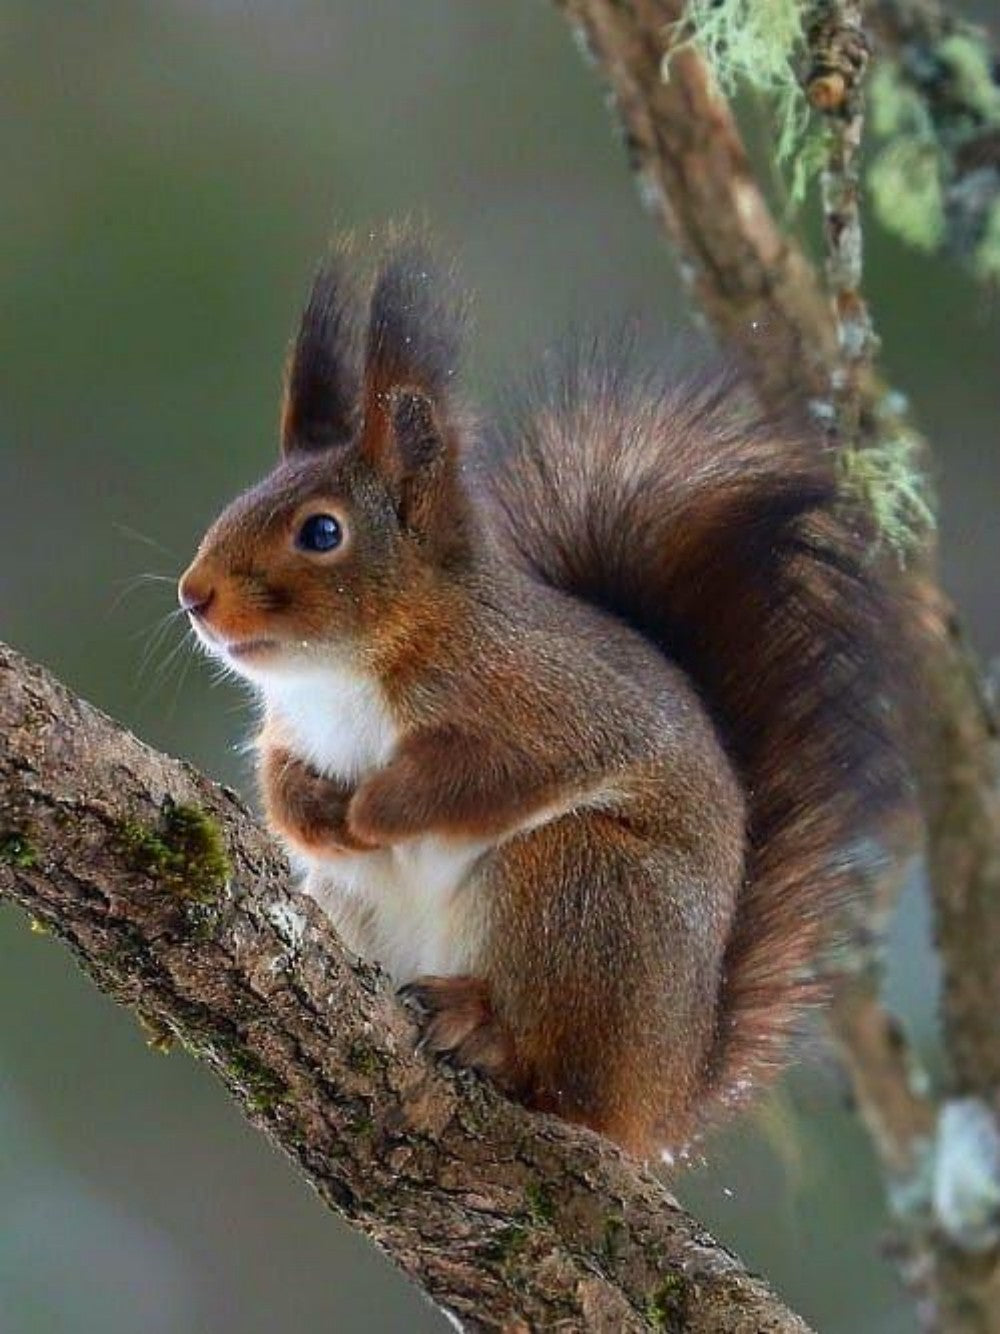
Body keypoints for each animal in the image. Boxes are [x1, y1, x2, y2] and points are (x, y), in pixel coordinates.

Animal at [178, 236, 911, 1159]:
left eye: (321, 532)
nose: (194, 596)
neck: (342, 673)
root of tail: (660, 1101)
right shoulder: (289, 726)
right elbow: (278, 780)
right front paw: (315, 812)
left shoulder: (546, 703)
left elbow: (496, 775)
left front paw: (376, 809)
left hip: (580, 887)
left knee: (559, 1080)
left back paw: (485, 1030)